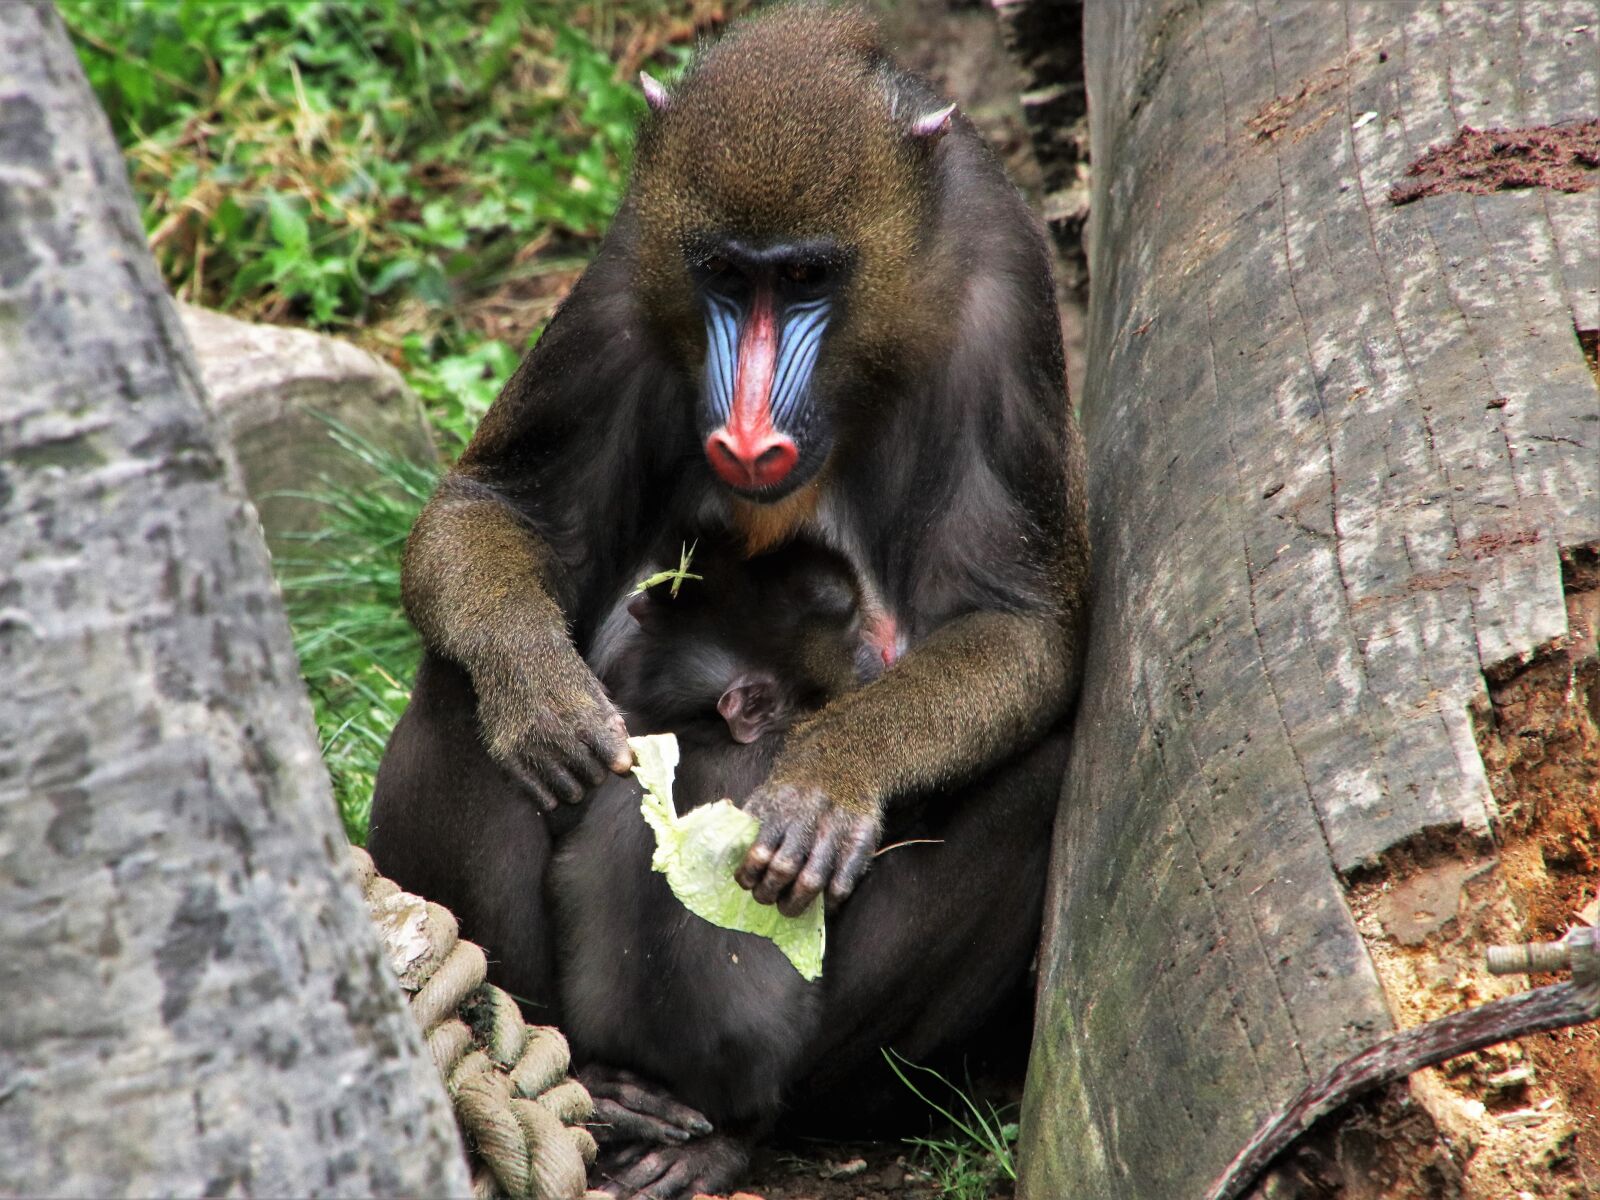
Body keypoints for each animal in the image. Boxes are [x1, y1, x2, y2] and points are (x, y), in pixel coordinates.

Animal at [366, 6, 1088, 1196]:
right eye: (723, 275)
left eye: (806, 279)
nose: (748, 438)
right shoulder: (629, 271)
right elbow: (496, 508)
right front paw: (543, 696)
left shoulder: (1004, 294)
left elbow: (1017, 621)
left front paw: (833, 778)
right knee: (454, 684)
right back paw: (595, 1082)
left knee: (1037, 771)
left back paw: (741, 1128)